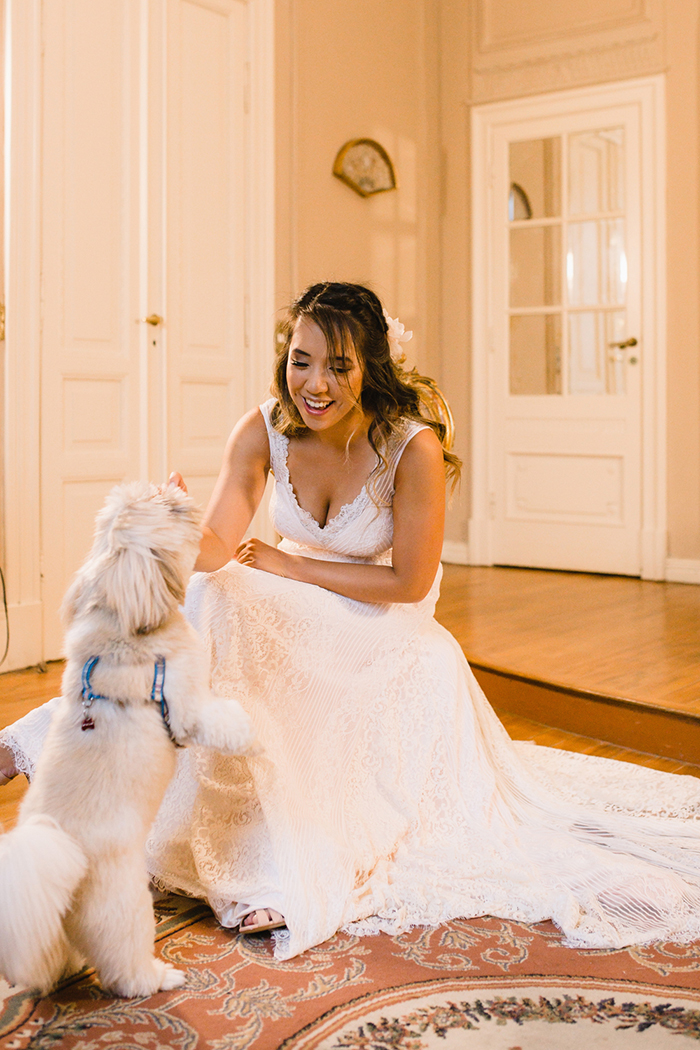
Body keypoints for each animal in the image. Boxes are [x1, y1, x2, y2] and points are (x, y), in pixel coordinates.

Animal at [0, 480, 255, 995]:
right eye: (166, 509)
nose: (176, 486)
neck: (123, 624)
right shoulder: (187, 706)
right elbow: (219, 720)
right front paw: (246, 728)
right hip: (125, 908)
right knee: (125, 968)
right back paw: (158, 977)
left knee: (57, 956)